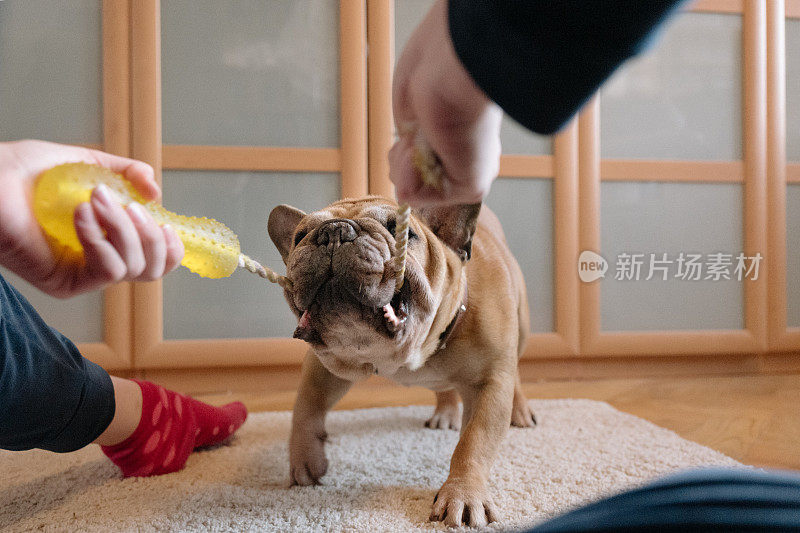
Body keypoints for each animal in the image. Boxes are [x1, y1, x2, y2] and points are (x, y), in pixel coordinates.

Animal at [268, 196, 536, 528]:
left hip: (521, 327)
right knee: (445, 388)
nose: (334, 231)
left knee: (516, 372)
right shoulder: (325, 366)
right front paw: (305, 460)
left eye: (403, 232)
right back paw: (445, 412)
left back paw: (520, 409)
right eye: (299, 237)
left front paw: (463, 495)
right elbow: (306, 408)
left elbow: (474, 442)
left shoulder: (490, 382)